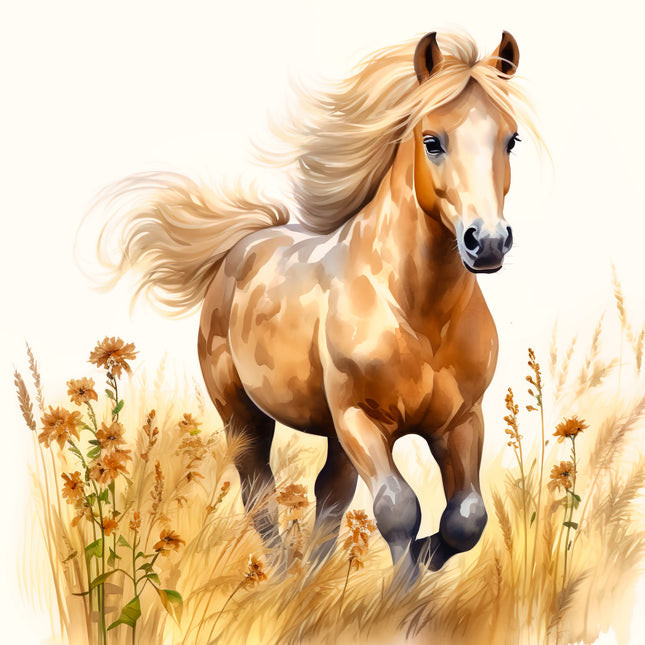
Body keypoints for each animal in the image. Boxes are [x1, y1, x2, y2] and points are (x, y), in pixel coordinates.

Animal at [96, 30, 537, 583]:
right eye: (432, 141)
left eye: (510, 139)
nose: (489, 242)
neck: (419, 313)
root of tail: (241, 246)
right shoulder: (360, 419)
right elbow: (398, 508)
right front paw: (403, 592)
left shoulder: (460, 421)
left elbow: (465, 518)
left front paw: (421, 564)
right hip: (243, 414)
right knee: (259, 492)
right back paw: (285, 577)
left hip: (333, 431)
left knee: (329, 496)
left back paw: (308, 580)